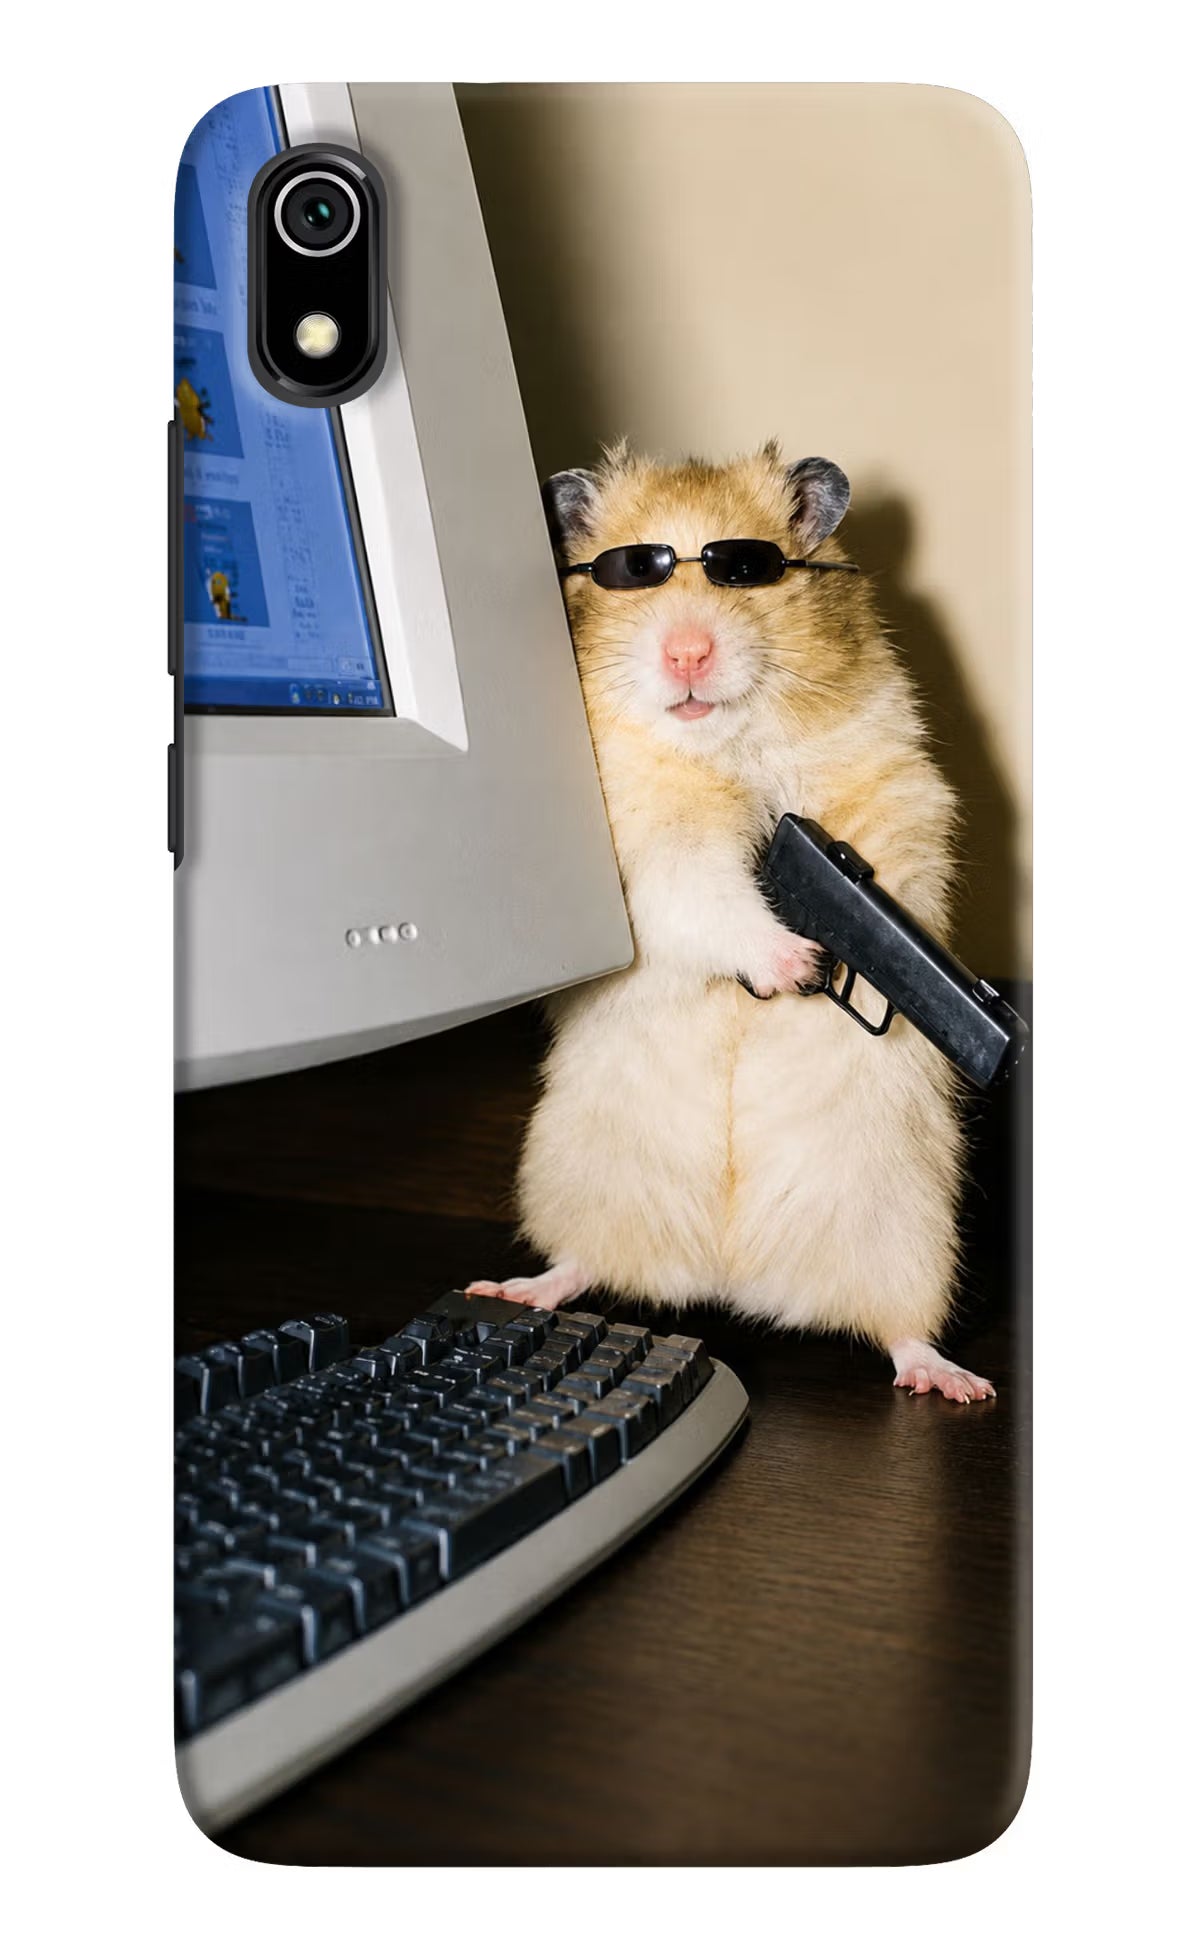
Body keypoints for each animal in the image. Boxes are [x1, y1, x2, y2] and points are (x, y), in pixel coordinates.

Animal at [468, 441, 993, 1402]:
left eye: (746, 570)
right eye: (633, 572)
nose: (686, 653)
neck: (724, 746)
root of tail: (730, 1277)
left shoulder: (895, 790)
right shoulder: (647, 852)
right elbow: (708, 896)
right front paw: (796, 964)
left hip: (907, 1229)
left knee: (900, 1329)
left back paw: (954, 1381)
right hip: (579, 1176)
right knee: (582, 1263)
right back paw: (515, 1288)